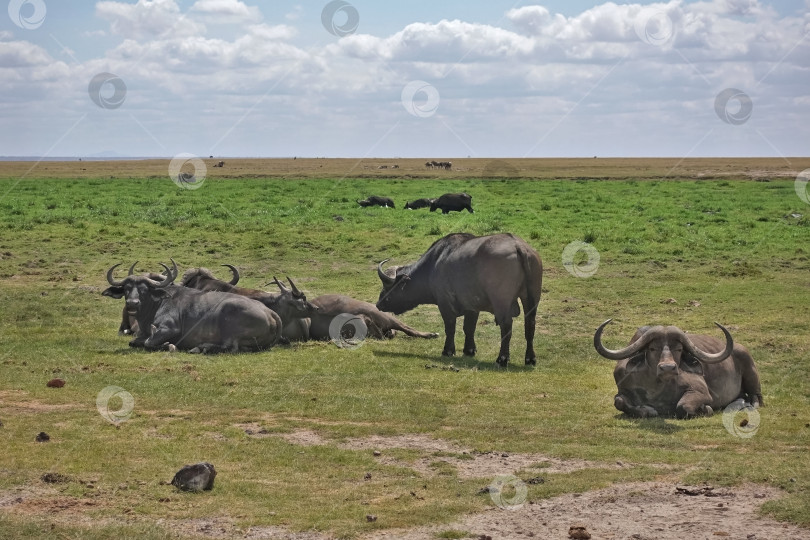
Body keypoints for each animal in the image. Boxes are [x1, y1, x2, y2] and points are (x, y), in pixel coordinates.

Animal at [102, 262, 282, 354]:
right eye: (127, 288)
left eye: (144, 289)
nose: (132, 303)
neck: (156, 304)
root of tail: (271, 313)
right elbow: (134, 342)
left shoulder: (169, 329)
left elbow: (149, 342)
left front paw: (169, 345)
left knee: (231, 347)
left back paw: (200, 348)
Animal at [374, 233, 540, 368]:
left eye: (389, 288)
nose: (378, 304)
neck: (434, 264)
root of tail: (518, 246)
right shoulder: (472, 307)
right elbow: (469, 328)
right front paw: (469, 350)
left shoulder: (445, 304)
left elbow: (450, 328)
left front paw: (448, 350)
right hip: (531, 297)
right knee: (530, 325)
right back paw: (530, 359)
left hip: (501, 301)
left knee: (506, 327)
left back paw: (502, 359)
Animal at [592, 318, 760, 420]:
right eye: (652, 348)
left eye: (679, 349)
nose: (668, 368)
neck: (656, 389)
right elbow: (619, 401)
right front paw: (648, 410)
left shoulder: (700, 391)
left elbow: (683, 406)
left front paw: (705, 409)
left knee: (756, 396)